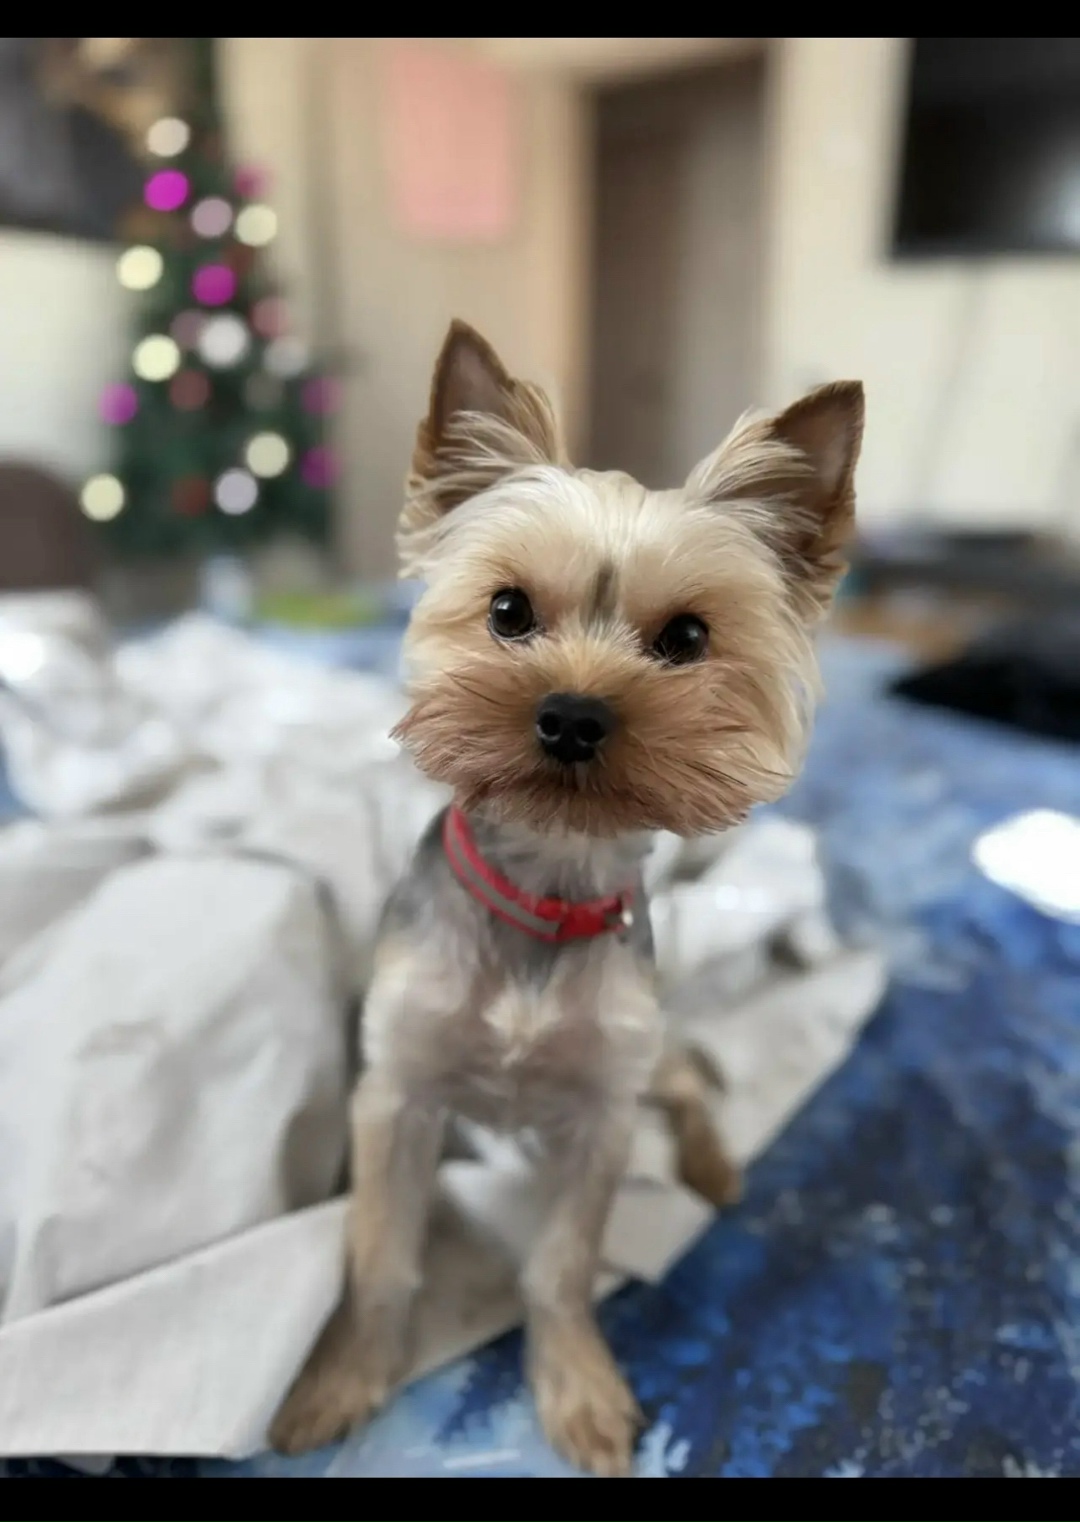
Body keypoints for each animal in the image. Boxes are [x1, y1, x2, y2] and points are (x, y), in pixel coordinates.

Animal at [269, 321, 864, 1475]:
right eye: (508, 612)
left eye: (686, 639)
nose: (574, 715)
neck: (542, 888)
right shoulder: (398, 1094)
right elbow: (381, 1258)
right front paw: (343, 1378)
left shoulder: (600, 1114)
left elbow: (559, 1267)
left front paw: (577, 1385)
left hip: (650, 1058)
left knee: (689, 1085)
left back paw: (716, 1169)